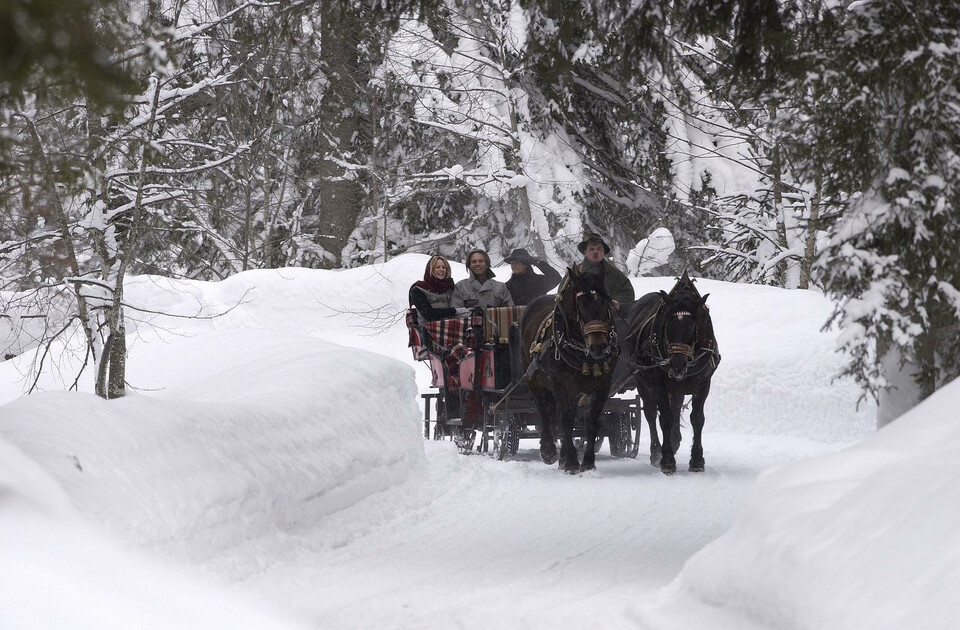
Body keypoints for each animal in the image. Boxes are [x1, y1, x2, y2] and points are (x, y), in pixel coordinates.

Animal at [520, 266, 620, 474]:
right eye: (580, 304)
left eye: (605, 301)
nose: (598, 346)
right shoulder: (561, 386)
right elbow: (565, 422)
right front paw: (572, 462)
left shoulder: (602, 387)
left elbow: (591, 422)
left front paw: (588, 462)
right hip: (534, 379)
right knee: (544, 410)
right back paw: (549, 451)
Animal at [624, 274, 720, 476]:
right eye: (668, 326)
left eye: (693, 327)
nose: (677, 365)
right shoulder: (658, 385)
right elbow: (665, 418)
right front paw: (667, 460)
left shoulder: (703, 384)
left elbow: (697, 419)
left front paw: (697, 460)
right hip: (643, 381)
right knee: (651, 413)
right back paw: (656, 452)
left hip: (678, 387)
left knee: (675, 407)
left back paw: (675, 440)